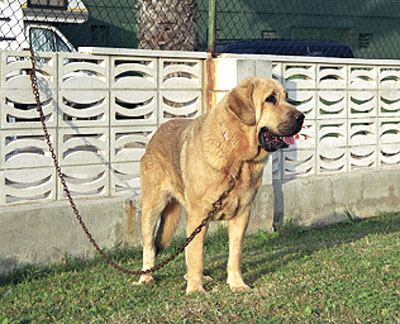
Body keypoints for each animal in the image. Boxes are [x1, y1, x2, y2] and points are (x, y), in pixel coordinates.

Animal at [137, 76, 304, 294]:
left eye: (286, 97)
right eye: (270, 99)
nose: (302, 117)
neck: (237, 155)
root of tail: (157, 133)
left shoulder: (241, 214)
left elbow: (234, 254)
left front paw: (237, 283)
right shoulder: (199, 214)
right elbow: (196, 256)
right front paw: (195, 290)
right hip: (152, 209)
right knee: (150, 246)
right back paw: (146, 277)